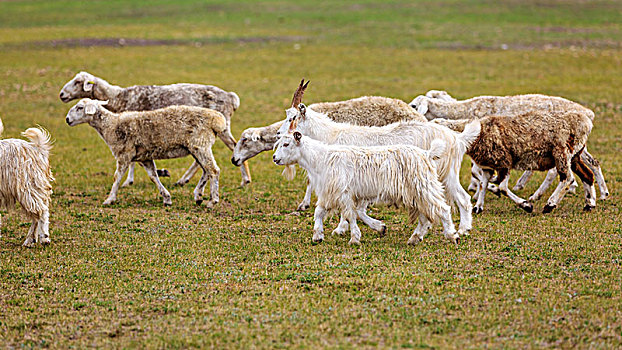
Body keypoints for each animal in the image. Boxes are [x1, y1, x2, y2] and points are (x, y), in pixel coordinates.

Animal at [59, 69, 251, 187]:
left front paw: (131, 180)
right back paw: (184, 180)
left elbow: (134, 162)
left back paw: (245, 179)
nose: (61, 94)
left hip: (221, 127)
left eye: (77, 82)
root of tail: (231, 98)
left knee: (233, 146)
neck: (118, 98)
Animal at [65, 98, 227, 206]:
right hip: (197, 147)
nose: (67, 119)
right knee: (206, 170)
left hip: (200, 145)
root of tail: (216, 119)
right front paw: (166, 198)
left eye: (80, 107)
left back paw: (212, 201)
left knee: (213, 170)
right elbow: (153, 176)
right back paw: (198, 195)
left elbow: (117, 177)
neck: (111, 126)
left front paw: (109, 199)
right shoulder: (144, 157)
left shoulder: (124, 153)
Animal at [272, 133, 458, 245]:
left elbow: (350, 215)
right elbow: (320, 212)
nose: (275, 158)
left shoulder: (343, 193)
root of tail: (427, 154)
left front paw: (354, 238)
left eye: (286, 144)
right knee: (424, 217)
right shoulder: (332, 194)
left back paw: (452, 235)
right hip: (415, 194)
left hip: (424, 188)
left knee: (442, 209)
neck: (321, 158)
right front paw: (317, 235)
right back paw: (414, 238)